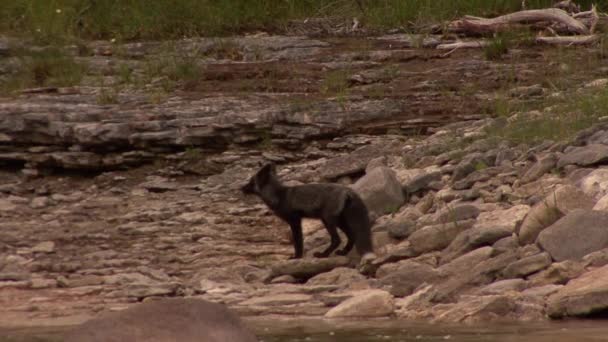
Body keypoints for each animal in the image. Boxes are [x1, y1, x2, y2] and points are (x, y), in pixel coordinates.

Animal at [242, 164, 376, 260]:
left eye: (251, 182)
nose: (240, 188)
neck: (279, 196)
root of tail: (348, 190)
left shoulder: (294, 221)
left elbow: (298, 242)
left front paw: (297, 257)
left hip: (327, 220)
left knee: (336, 239)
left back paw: (323, 255)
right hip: (340, 220)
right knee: (352, 236)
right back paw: (343, 252)